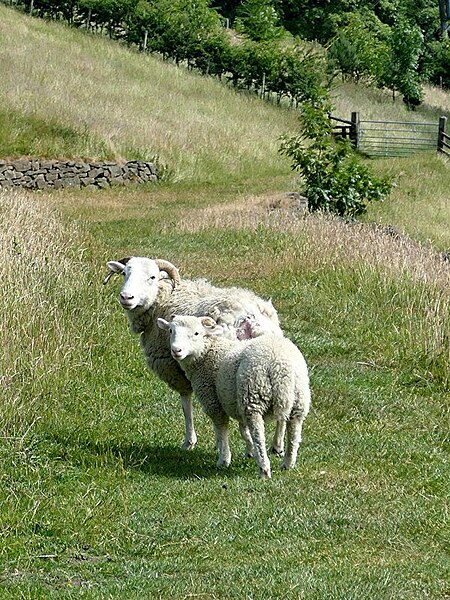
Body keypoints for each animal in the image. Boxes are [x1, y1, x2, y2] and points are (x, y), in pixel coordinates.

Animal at [104, 256, 282, 450]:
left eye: (152, 277)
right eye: (124, 273)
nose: (126, 297)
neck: (164, 297)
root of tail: (250, 321)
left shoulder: (174, 368)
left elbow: (185, 404)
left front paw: (189, 441)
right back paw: (277, 445)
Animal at [156, 314, 310, 478]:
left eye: (197, 333)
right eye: (171, 330)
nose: (176, 350)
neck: (207, 353)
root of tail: (279, 366)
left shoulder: (213, 401)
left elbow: (221, 429)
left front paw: (224, 459)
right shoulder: (236, 401)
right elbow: (243, 430)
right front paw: (249, 451)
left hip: (253, 397)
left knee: (259, 435)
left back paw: (264, 470)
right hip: (298, 399)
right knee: (294, 433)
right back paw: (287, 464)